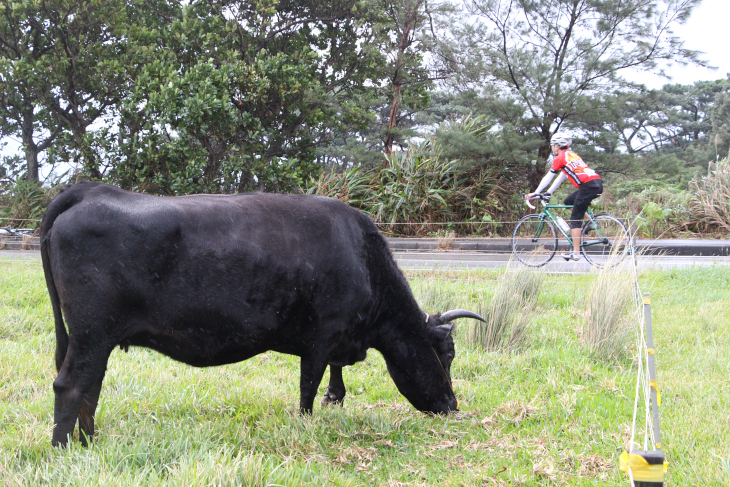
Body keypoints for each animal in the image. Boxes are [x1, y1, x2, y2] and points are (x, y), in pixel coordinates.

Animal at [41, 181, 484, 448]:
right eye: (447, 355)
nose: (452, 405)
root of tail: (90, 189)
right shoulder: (321, 336)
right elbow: (308, 387)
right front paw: (307, 424)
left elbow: (335, 378)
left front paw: (334, 400)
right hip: (92, 331)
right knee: (70, 386)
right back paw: (64, 449)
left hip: (97, 338)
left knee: (91, 387)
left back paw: (90, 443)